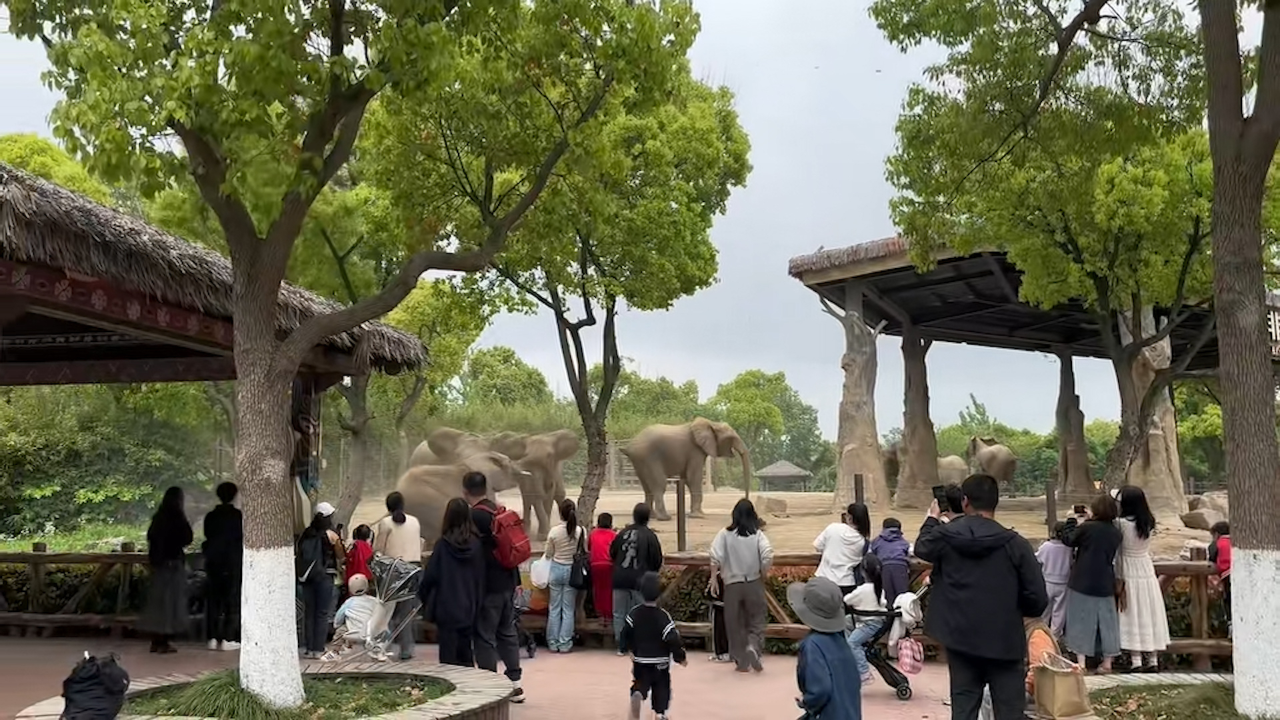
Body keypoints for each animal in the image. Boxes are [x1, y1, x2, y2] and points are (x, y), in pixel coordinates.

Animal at [619, 415, 747, 520]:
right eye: (731, 438)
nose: (745, 499)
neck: (712, 423)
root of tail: (630, 446)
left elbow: (687, 478)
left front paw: (698, 514)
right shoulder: (695, 451)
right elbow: (693, 478)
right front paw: (698, 516)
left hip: (639, 461)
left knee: (647, 488)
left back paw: (651, 517)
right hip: (649, 458)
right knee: (659, 484)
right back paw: (665, 518)